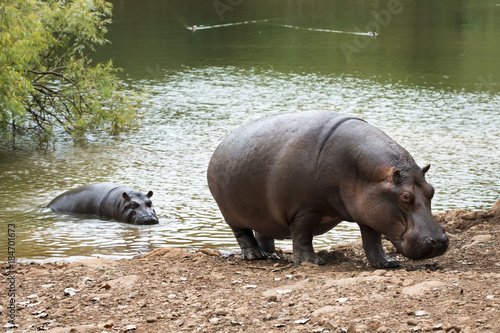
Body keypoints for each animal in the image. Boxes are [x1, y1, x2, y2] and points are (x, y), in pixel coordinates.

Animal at [207, 111, 450, 268]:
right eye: (405, 196)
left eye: (431, 190)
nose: (438, 242)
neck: (363, 173)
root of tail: (221, 145)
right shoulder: (305, 210)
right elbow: (303, 236)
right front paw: (312, 262)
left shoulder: (369, 210)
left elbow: (372, 240)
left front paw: (386, 263)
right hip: (232, 214)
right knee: (243, 234)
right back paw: (255, 256)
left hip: (264, 214)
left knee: (263, 232)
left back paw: (273, 256)